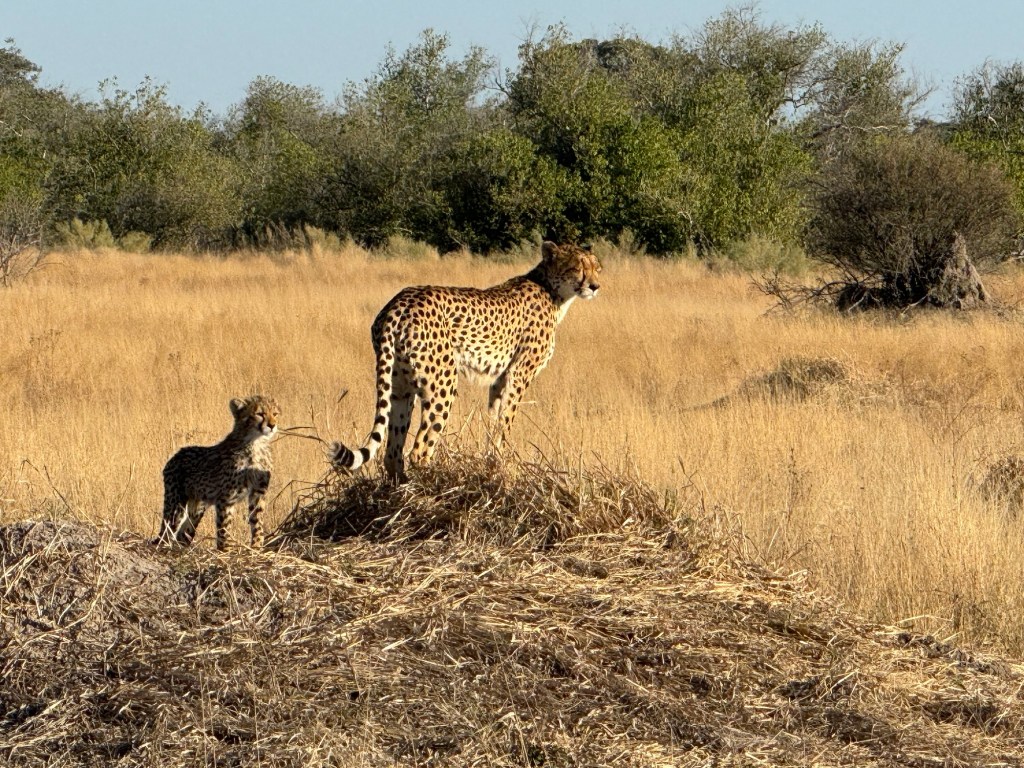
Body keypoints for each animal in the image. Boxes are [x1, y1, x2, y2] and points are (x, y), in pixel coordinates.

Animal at [158, 395, 280, 551]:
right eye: (260, 414)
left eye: (275, 414)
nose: (272, 425)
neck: (255, 442)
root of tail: (175, 455)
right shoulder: (226, 498)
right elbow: (224, 528)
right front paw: (225, 551)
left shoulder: (258, 491)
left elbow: (257, 522)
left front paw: (256, 548)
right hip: (176, 503)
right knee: (166, 532)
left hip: (198, 506)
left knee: (183, 533)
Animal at [329, 241, 602, 481]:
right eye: (577, 268)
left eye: (596, 267)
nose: (595, 286)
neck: (551, 289)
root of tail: (401, 302)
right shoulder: (519, 374)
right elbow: (507, 421)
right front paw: (501, 462)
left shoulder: (500, 378)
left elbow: (494, 419)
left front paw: (492, 459)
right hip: (443, 383)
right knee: (419, 449)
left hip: (400, 387)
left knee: (392, 453)